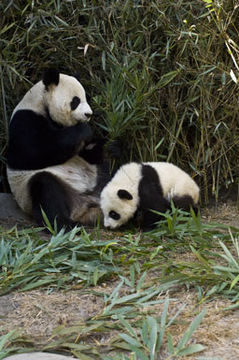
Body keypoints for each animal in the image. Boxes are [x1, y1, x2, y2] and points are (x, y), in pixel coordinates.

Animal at [6, 69, 110, 229]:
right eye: (76, 101)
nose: (88, 114)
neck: (41, 103)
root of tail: (86, 207)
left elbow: (92, 156)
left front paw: (96, 143)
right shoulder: (25, 119)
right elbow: (30, 153)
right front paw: (85, 130)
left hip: (100, 180)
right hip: (37, 187)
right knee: (47, 189)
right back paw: (65, 224)